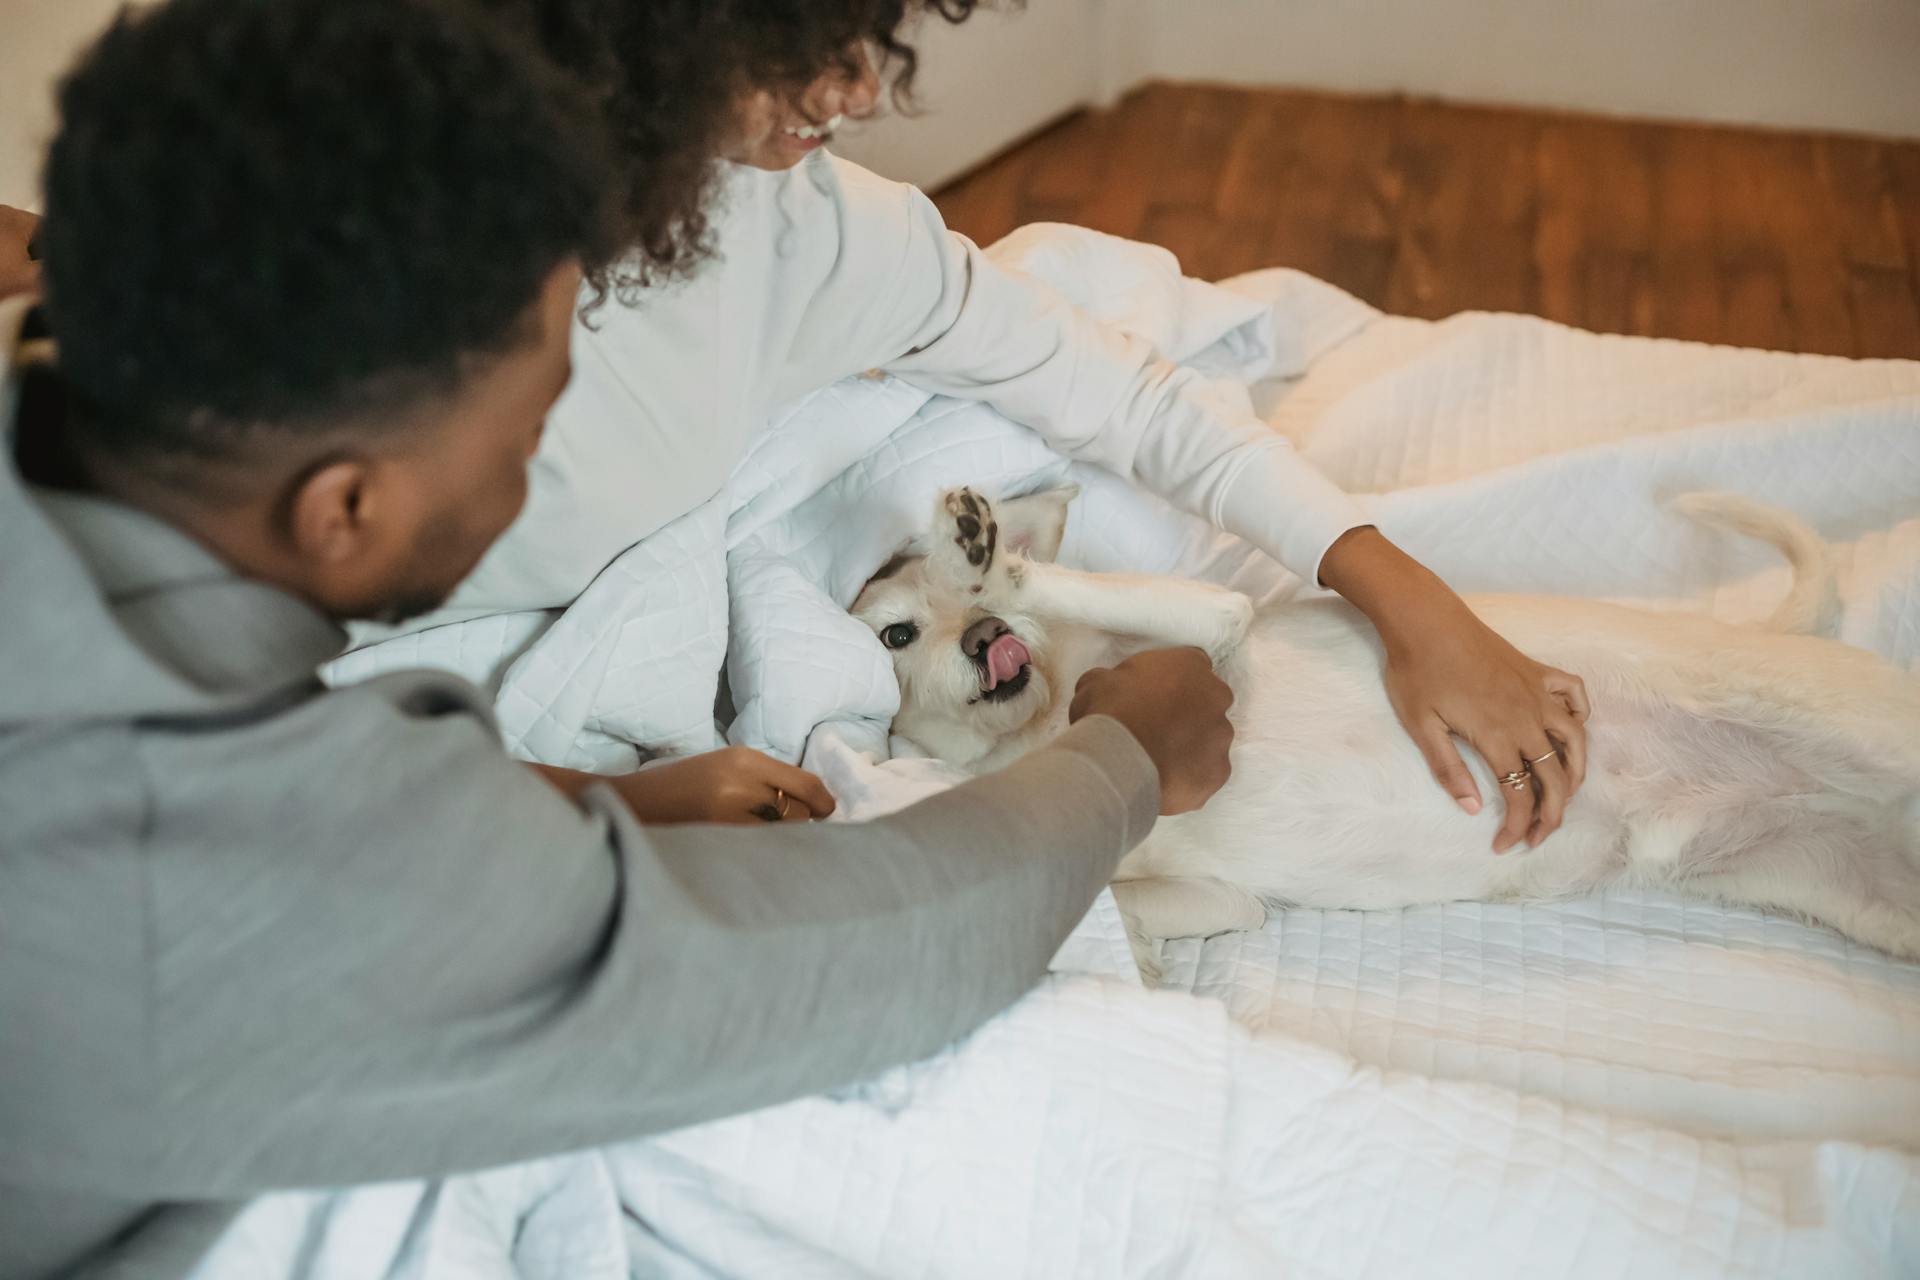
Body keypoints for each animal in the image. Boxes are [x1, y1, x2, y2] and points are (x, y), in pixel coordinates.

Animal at [856, 487, 1920, 971]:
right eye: (896, 632)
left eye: (961, 610)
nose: (987, 640)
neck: (1047, 730)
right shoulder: (1222, 899)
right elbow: (1123, 903)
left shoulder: (1214, 629)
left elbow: (1102, 590)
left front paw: (993, 557)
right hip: (1878, 907)